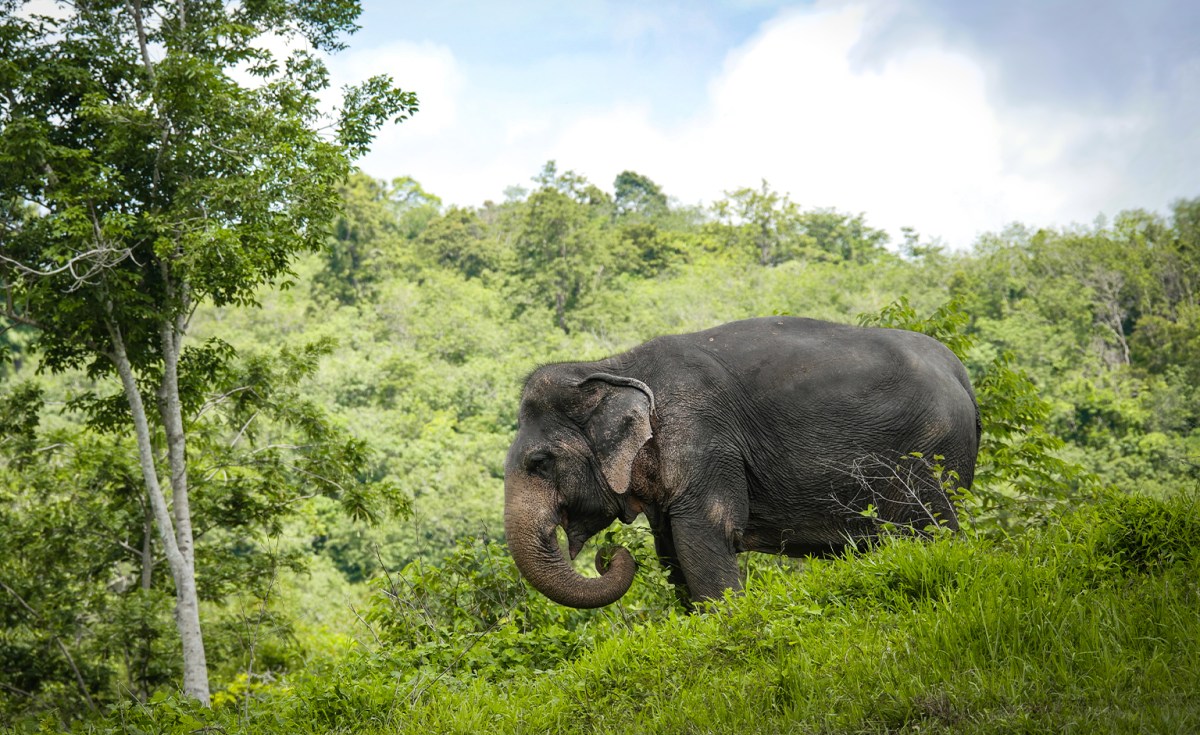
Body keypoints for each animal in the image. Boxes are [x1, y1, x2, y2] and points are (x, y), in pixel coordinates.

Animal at [503, 316, 980, 609]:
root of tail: (960, 372)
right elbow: (670, 549)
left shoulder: (705, 439)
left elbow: (703, 536)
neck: (611, 366)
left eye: (540, 462)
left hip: (930, 452)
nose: (608, 556)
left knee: (930, 529)